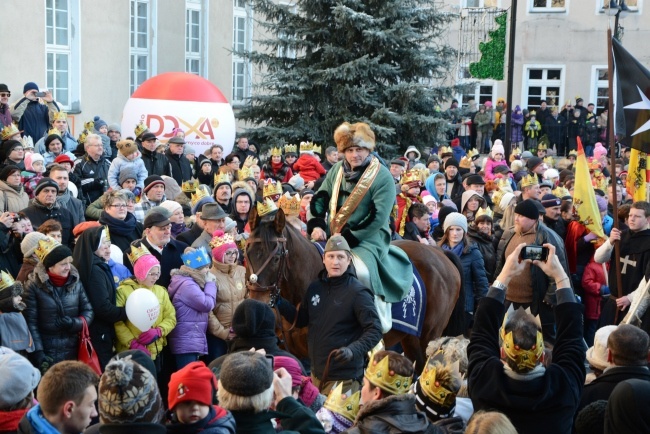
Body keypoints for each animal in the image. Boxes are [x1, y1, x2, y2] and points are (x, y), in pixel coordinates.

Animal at [242, 207, 460, 372]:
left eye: (276, 258)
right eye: (246, 252)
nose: (257, 303)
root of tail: (440, 253)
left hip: (429, 337)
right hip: (411, 339)